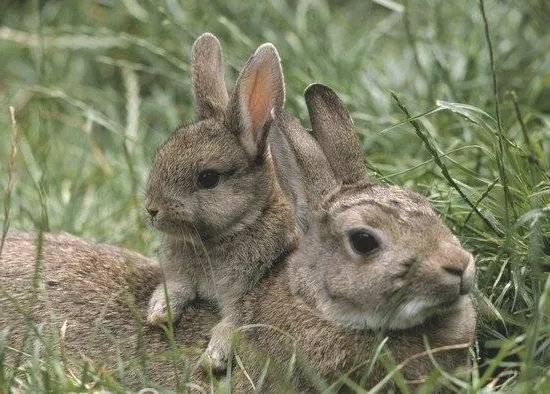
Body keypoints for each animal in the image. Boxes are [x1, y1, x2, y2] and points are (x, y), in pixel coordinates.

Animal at [144, 33, 300, 370]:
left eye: (208, 178)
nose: (152, 210)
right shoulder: (181, 275)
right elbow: (176, 286)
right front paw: (159, 313)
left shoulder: (249, 290)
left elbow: (234, 321)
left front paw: (213, 358)